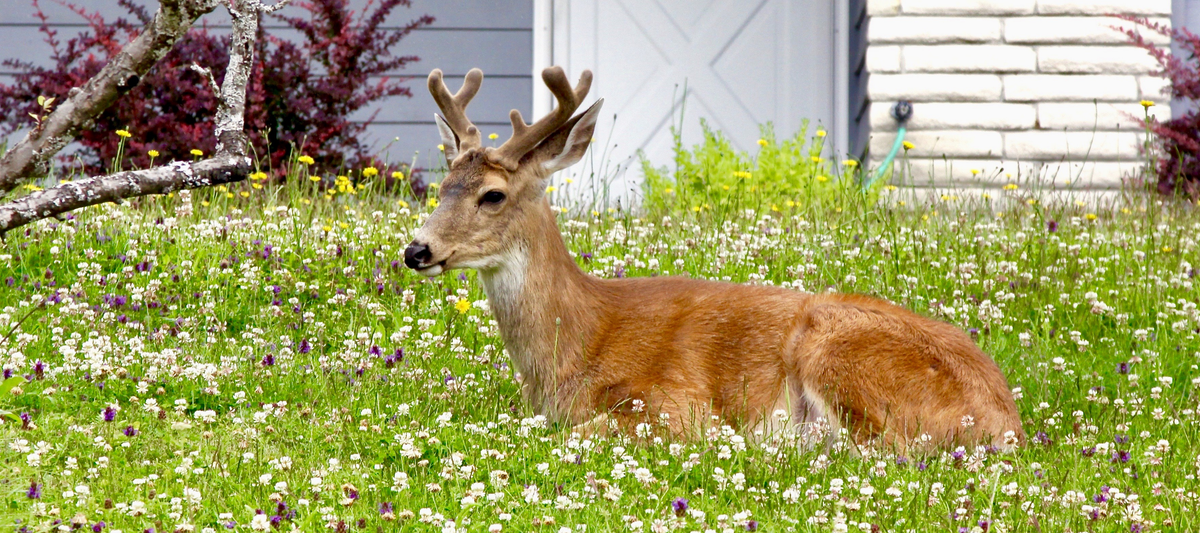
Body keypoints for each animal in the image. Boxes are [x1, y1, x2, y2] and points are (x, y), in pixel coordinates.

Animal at [404, 66, 1025, 451]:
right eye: (442, 186)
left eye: (493, 195)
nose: (416, 250)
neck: (576, 344)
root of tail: (1008, 421)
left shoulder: (674, 405)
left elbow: (586, 429)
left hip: (837, 351)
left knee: (884, 450)